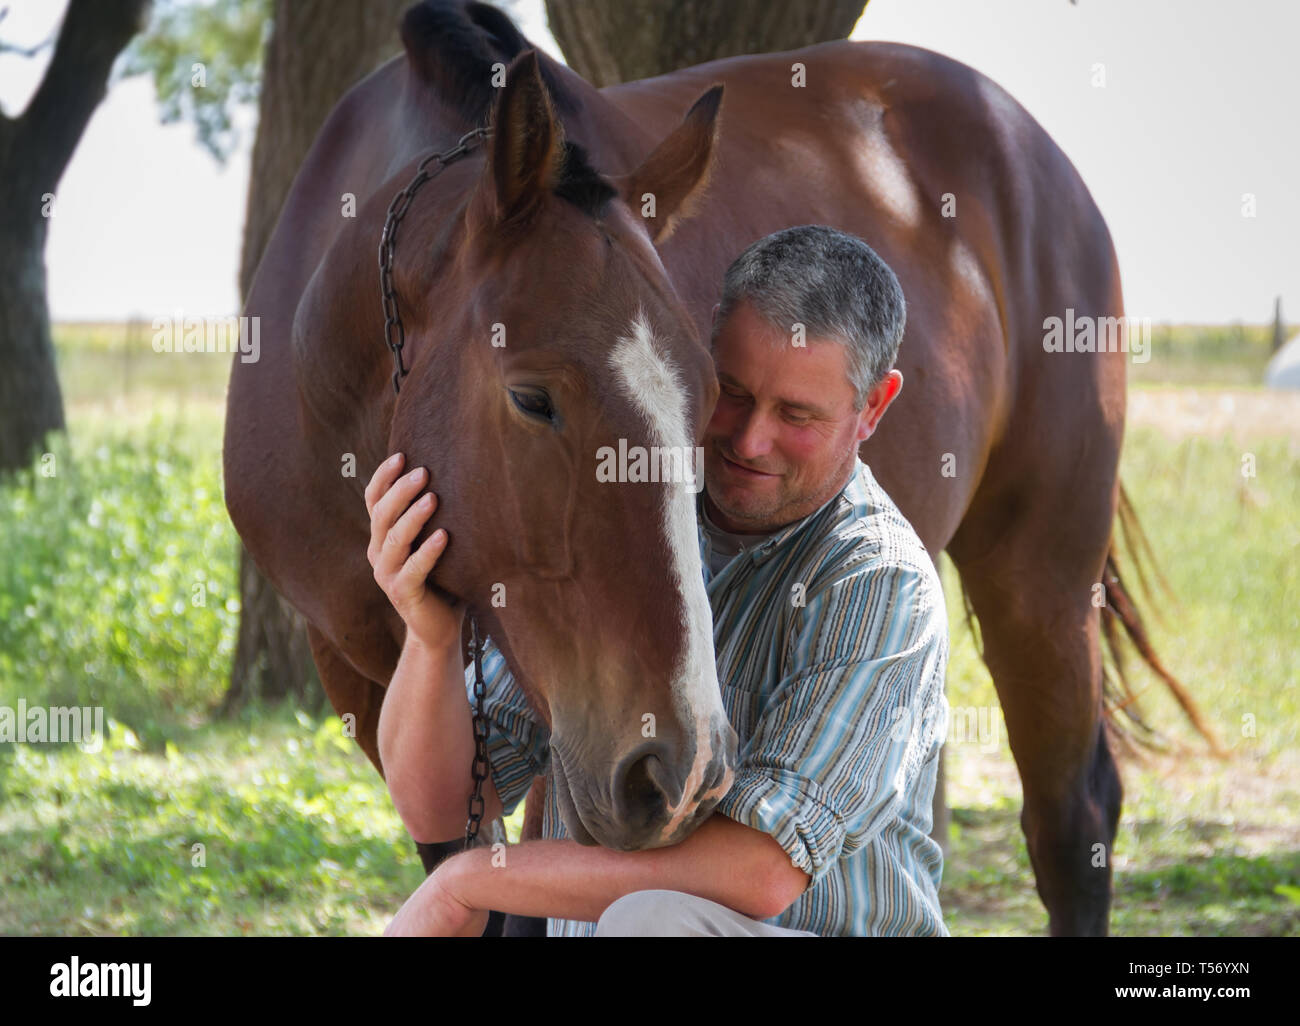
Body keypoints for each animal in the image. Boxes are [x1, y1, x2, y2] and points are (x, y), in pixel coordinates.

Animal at [224, 0, 1215, 936]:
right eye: (533, 398)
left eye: (708, 397)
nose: (683, 767)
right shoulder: (369, 682)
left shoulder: (568, 735)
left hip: (1040, 575)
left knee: (1072, 817)